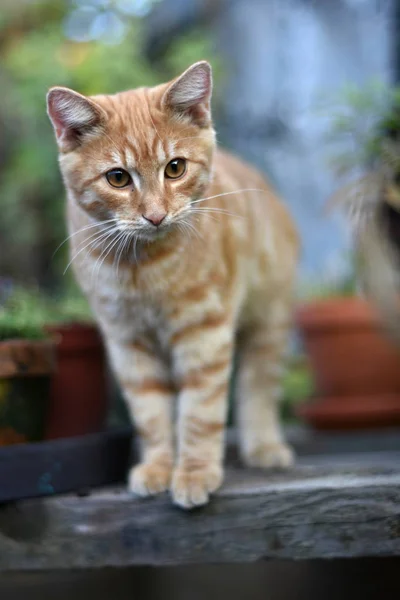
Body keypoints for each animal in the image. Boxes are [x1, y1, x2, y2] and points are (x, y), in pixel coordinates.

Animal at [47, 61, 298, 508]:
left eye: (175, 168)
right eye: (117, 178)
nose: (155, 215)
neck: (142, 267)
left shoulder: (205, 333)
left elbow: (199, 410)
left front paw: (195, 472)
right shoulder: (127, 341)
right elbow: (151, 413)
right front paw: (159, 468)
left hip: (269, 319)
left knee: (258, 386)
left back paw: (264, 445)